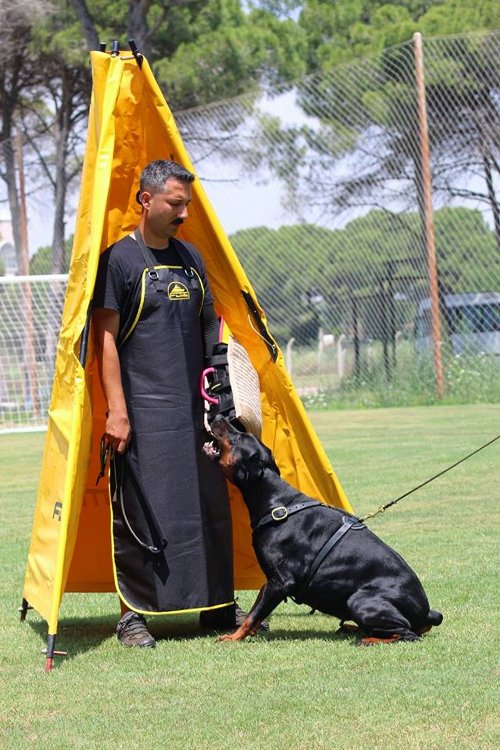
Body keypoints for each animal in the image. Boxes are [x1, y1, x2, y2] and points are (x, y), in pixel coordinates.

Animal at [203, 418, 442, 648]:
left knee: (408, 634)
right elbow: (256, 612)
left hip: (360, 601)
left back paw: (368, 639)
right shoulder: (270, 581)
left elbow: (253, 615)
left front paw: (233, 637)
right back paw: (353, 629)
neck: (276, 503)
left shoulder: (281, 582)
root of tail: (426, 613)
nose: (219, 417)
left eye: (238, 437)